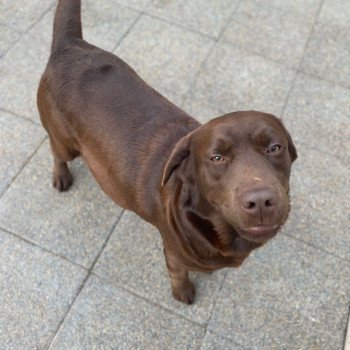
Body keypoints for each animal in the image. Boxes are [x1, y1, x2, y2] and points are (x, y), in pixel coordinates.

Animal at [37, 0, 296, 302]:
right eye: (217, 158)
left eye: (274, 148)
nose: (261, 200)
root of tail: (69, 44)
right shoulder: (174, 253)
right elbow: (179, 274)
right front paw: (183, 293)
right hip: (64, 142)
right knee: (57, 152)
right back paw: (61, 176)